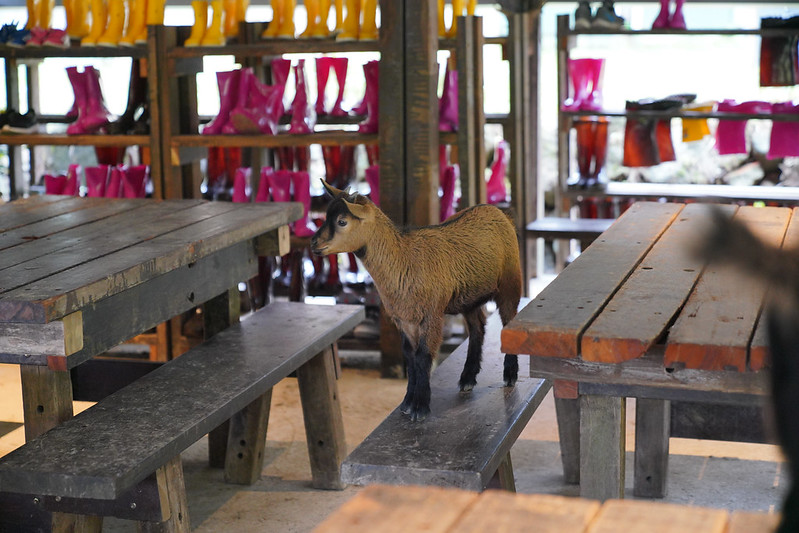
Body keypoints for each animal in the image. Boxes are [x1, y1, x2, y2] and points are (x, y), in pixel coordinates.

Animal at [312, 181, 524, 422]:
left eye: (342, 221)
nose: (314, 243)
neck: (403, 259)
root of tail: (500, 213)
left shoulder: (431, 314)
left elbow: (423, 356)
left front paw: (420, 407)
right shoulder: (404, 318)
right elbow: (410, 357)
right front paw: (407, 403)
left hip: (510, 283)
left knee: (508, 322)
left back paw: (509, 375)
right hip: (469, 296)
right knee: (477, 327)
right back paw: (468, 378)